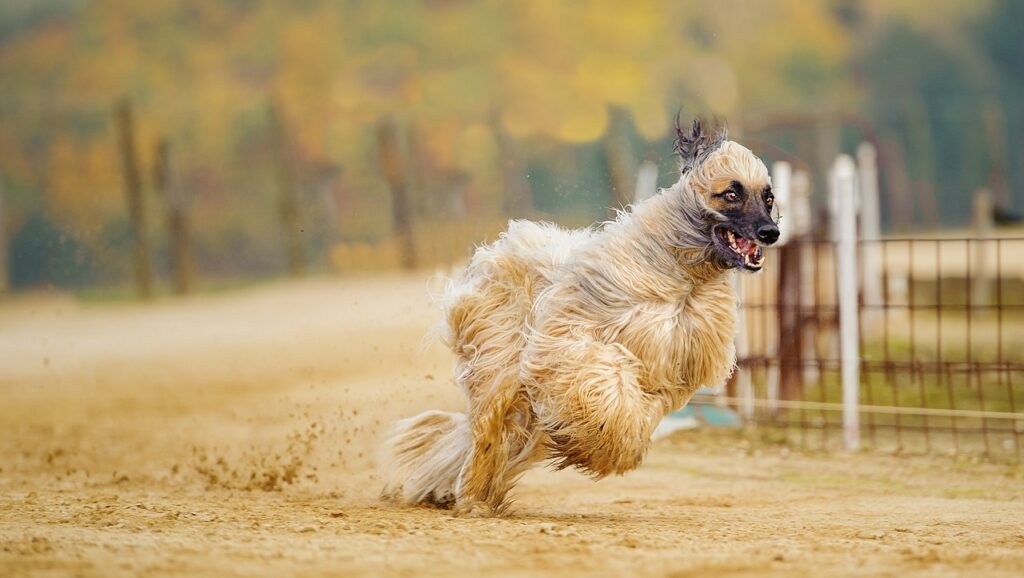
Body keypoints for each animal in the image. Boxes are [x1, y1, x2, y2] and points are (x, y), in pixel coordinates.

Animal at [382, 117, 774, 514]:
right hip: (499, 359)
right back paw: (474, 496)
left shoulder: (671, 369)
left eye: (768, 197)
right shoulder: (570, 340)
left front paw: (604, 445)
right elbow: (606, 381)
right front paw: (600, 445)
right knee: (488, 430)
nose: (771, 232)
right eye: (731, 194)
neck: (684, 275)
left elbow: (643, 406)